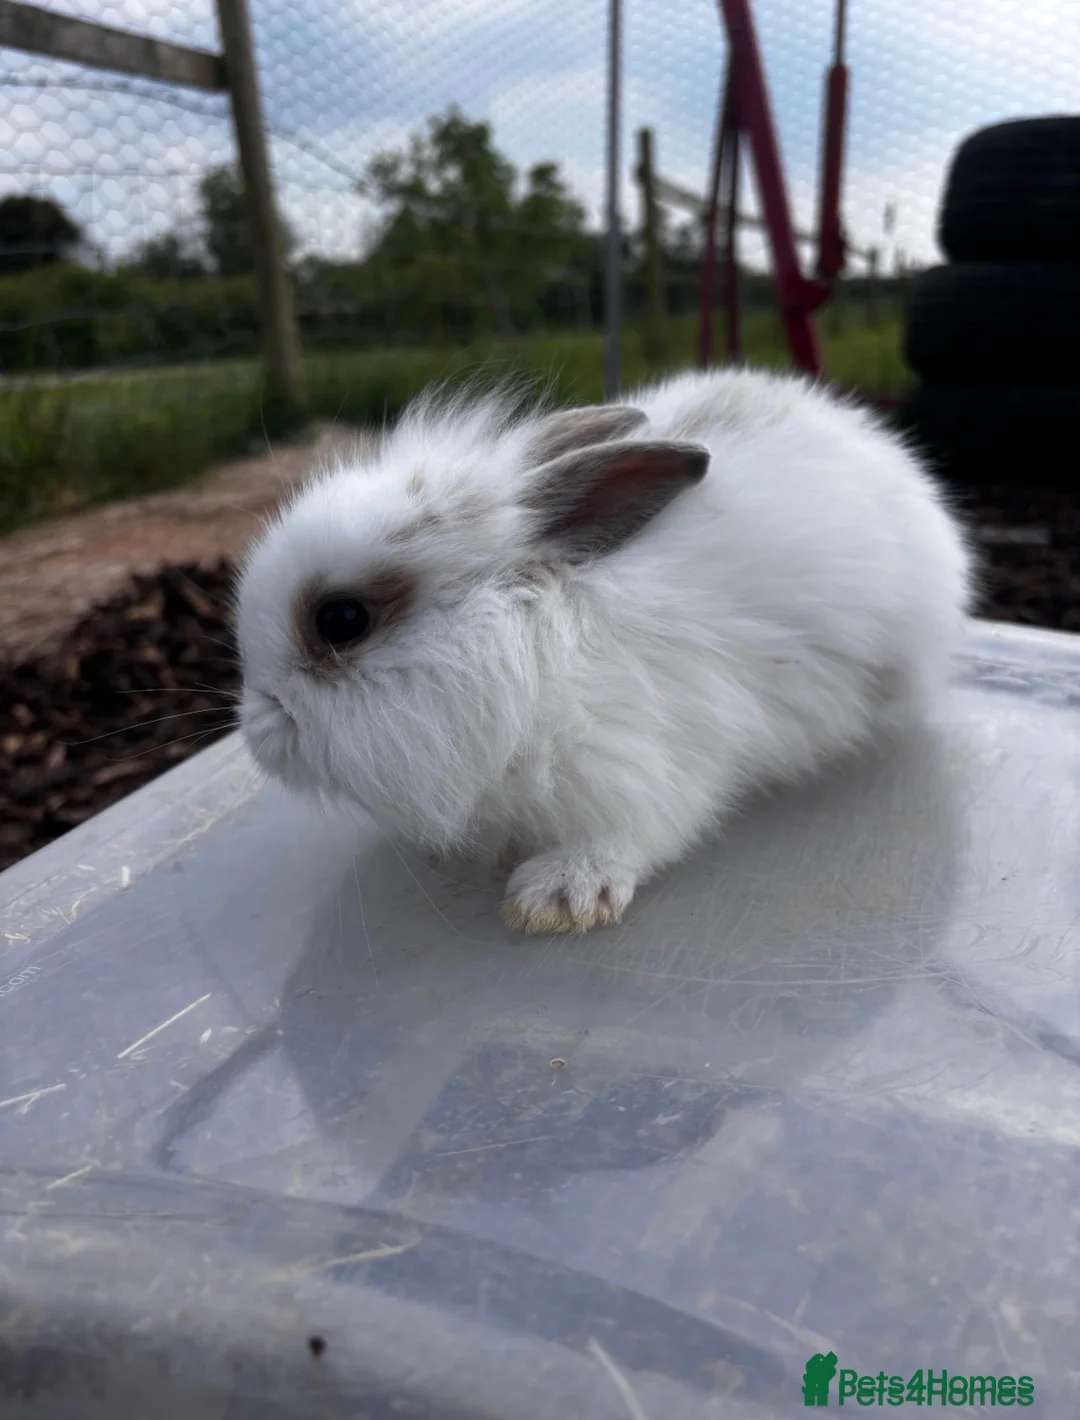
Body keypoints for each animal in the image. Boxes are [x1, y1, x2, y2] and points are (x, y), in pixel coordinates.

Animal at [235, 367, 974, 935]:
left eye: (341, 620)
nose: (256, 734)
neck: (523, 641)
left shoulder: (648, 767)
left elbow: (628, 836)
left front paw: (558, 898)